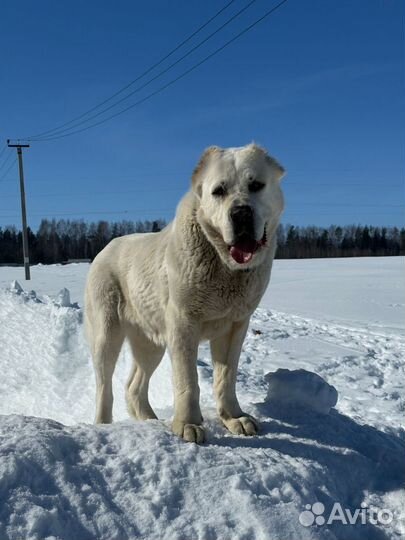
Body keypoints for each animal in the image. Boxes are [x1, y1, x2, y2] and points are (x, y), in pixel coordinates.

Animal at [84, 143, 284, 442]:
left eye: (257, 185)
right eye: (218, 191)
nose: (241, 213)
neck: (225, 267)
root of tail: (104, 250)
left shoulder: (235, 326)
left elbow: (226, 378)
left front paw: (234, 417)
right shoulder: (183, 324)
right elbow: (188, 379)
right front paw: (188, 424)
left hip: (150, 342)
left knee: (133, 387)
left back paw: (151, 421)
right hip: (106, 333)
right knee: (103, 387)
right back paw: (104, 426)